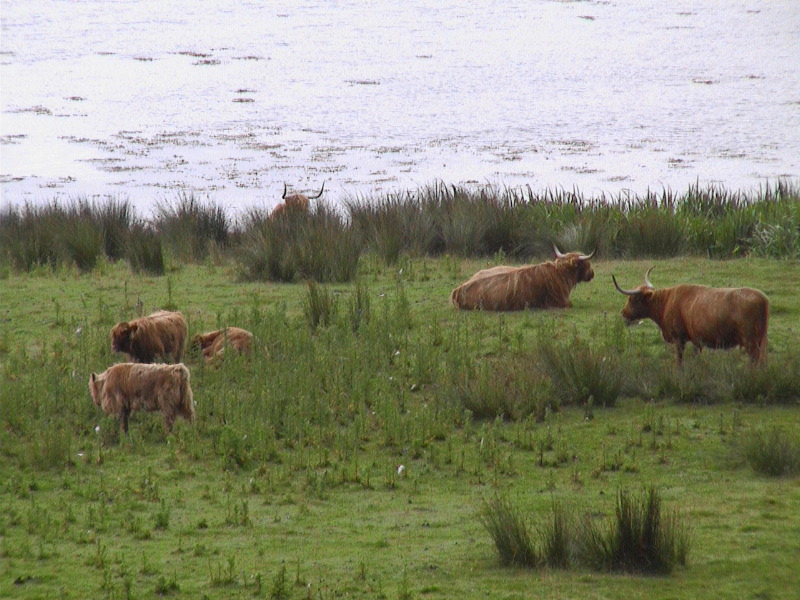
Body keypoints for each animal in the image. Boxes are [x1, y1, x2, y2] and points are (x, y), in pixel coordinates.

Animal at [612, 267, 769, 365]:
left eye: (632, 299)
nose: (623, 313)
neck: (666, 301)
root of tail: (762, 297)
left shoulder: (678, 338)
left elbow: (679, 361)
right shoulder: (695, 340)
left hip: (750, 342)